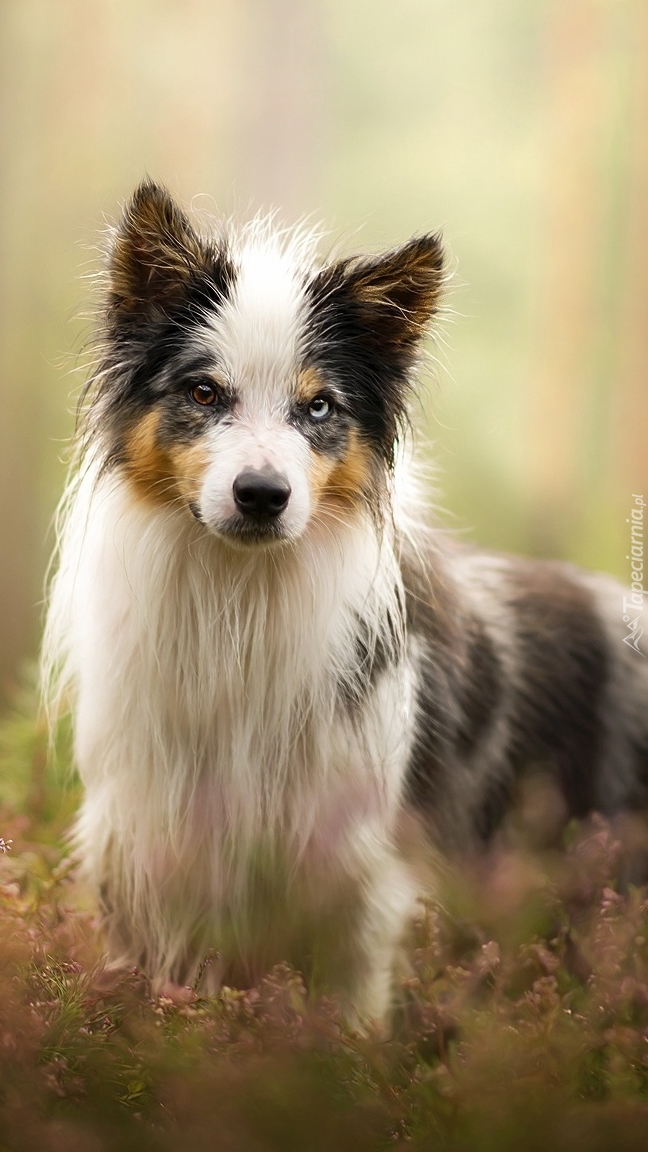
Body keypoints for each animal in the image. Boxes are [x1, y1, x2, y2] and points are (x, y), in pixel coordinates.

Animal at [39, 179, 645, 1027]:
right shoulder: (152, 849)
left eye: (319, 407)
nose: (262, 495)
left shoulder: (361, 870)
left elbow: (348, 1007)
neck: (242, 596)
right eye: (202, 392)